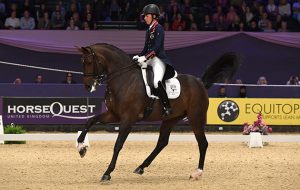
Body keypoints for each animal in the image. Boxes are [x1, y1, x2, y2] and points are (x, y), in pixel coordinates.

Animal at [76, 43, 240, 182]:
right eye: (82, 62)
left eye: (89, 62)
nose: (88, 86)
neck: (124, 79)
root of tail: (200, 83)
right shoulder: (113, 114)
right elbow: (90, 121)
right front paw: (81, 147)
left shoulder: (128, 119)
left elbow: (118, 145)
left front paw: (107, 173)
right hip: (171, 118)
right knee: (162, 142)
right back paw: (141, 167)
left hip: (196, 118)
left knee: (203, 143)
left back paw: (197, 173)